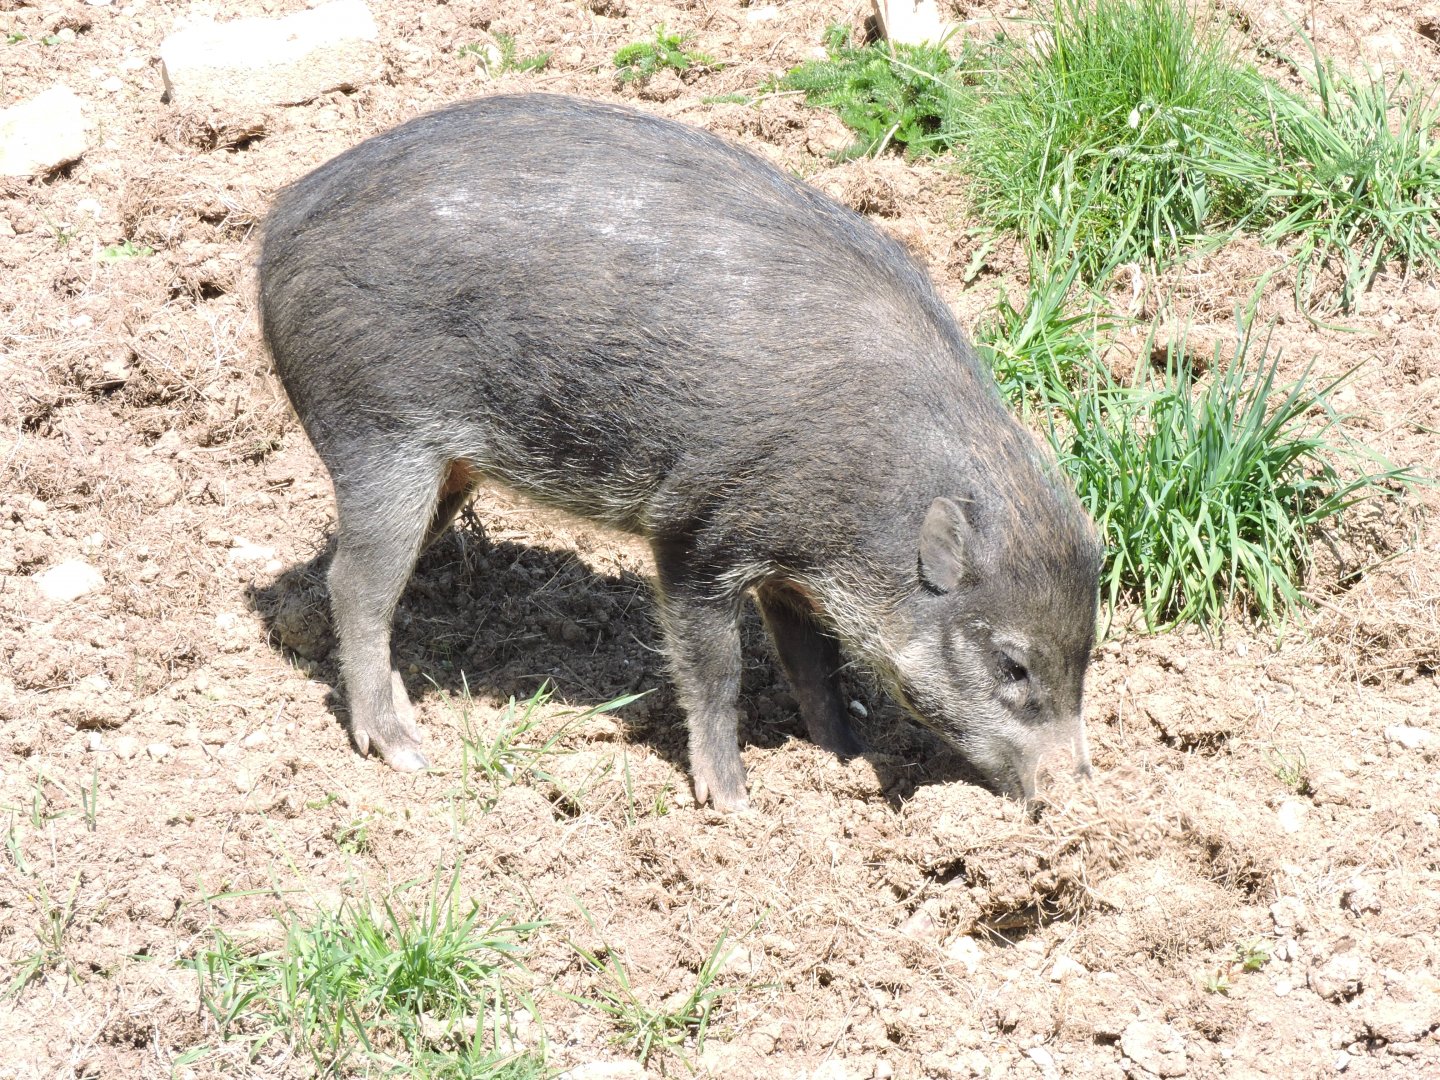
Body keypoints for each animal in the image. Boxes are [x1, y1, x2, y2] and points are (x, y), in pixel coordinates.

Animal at [258, 93, 1102, 811]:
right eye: (1013, 664)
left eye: (1087, 653)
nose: (1072, 795)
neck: (871, 497)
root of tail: (277, 226)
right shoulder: (697, 533)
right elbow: (718, 671)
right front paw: (732, 803)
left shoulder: (791, 569)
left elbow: (814, 666)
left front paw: (844, 758)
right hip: (379, 438)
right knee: (355, 586)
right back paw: (404, 749)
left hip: (446, 471)